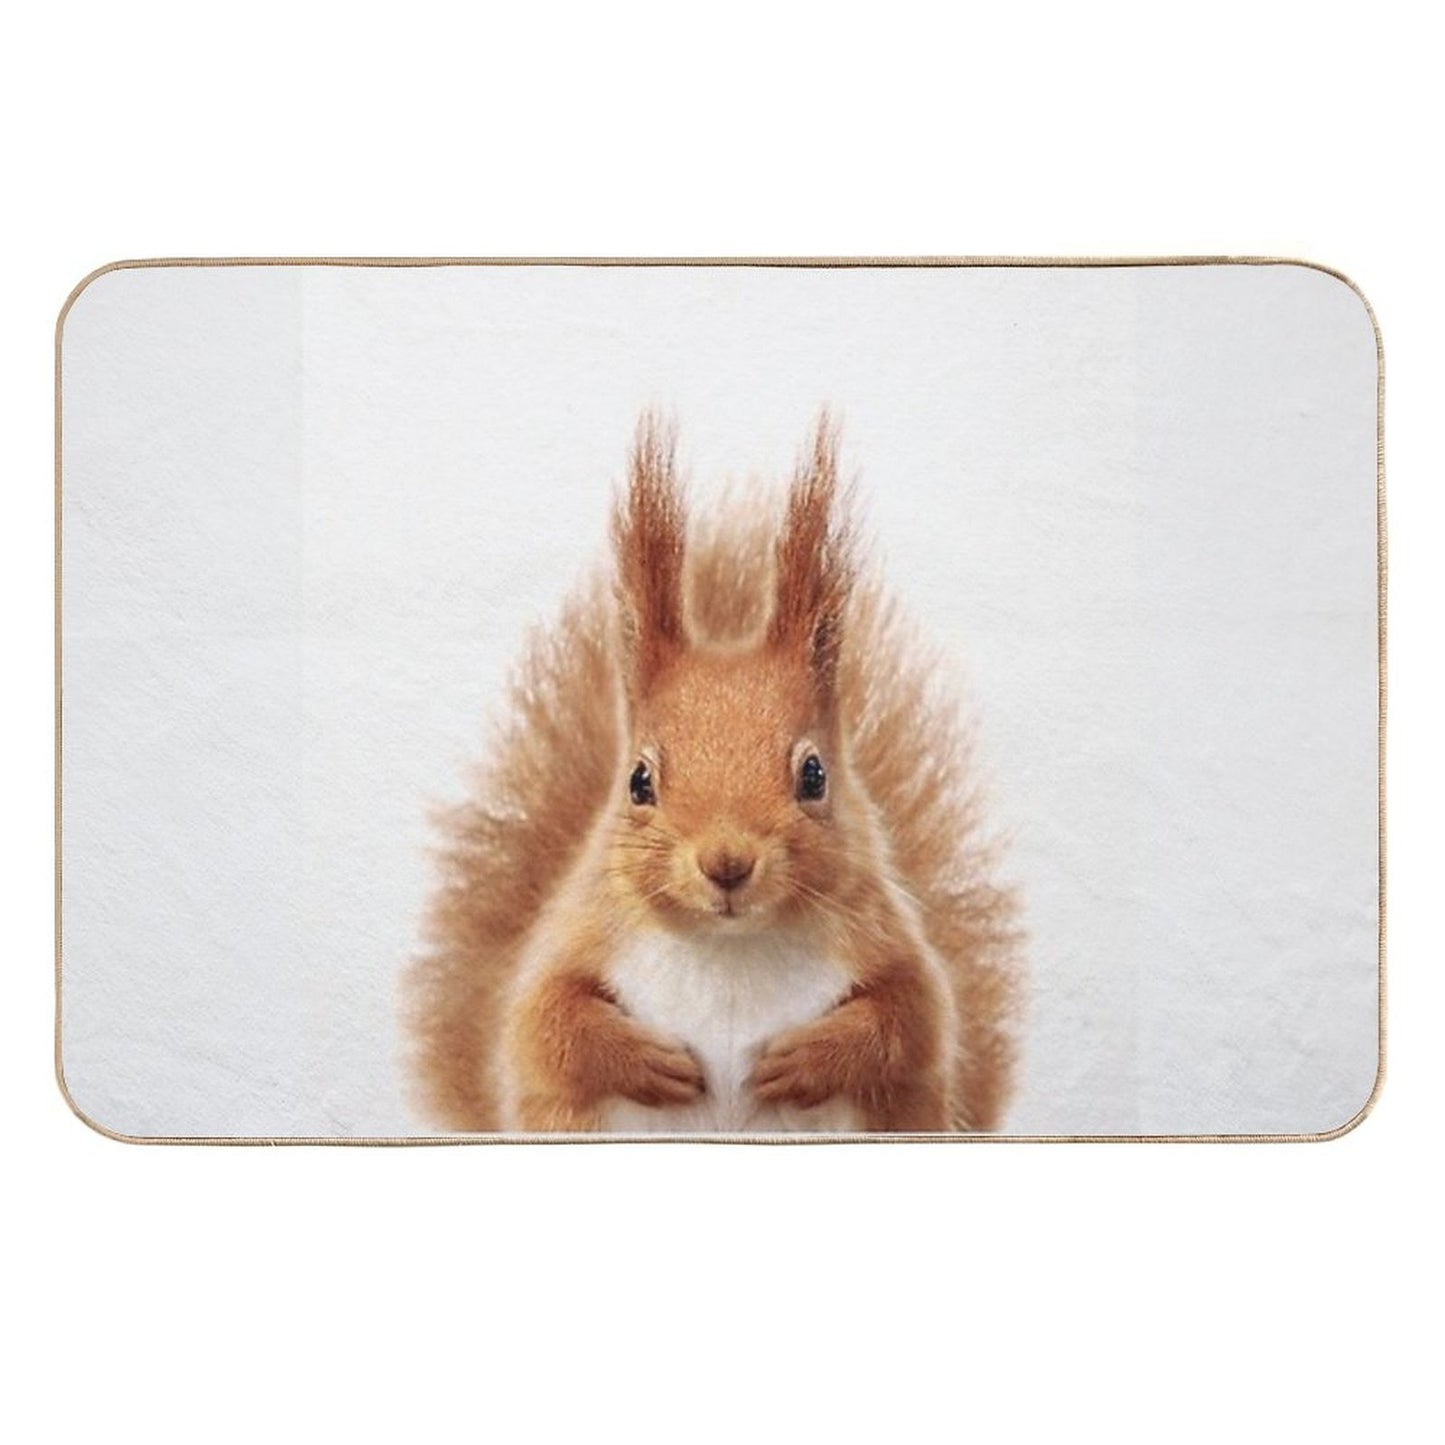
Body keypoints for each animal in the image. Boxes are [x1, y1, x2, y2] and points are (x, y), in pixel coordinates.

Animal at [406, 414, 1022, 1133]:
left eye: (814, 774)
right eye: (639, 781)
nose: (726, 863)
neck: (729, 947)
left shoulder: (891, 948)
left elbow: (909, 1020)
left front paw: (804, 1059)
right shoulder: (576, 938)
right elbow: (545, 1024)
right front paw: (647, 1060)